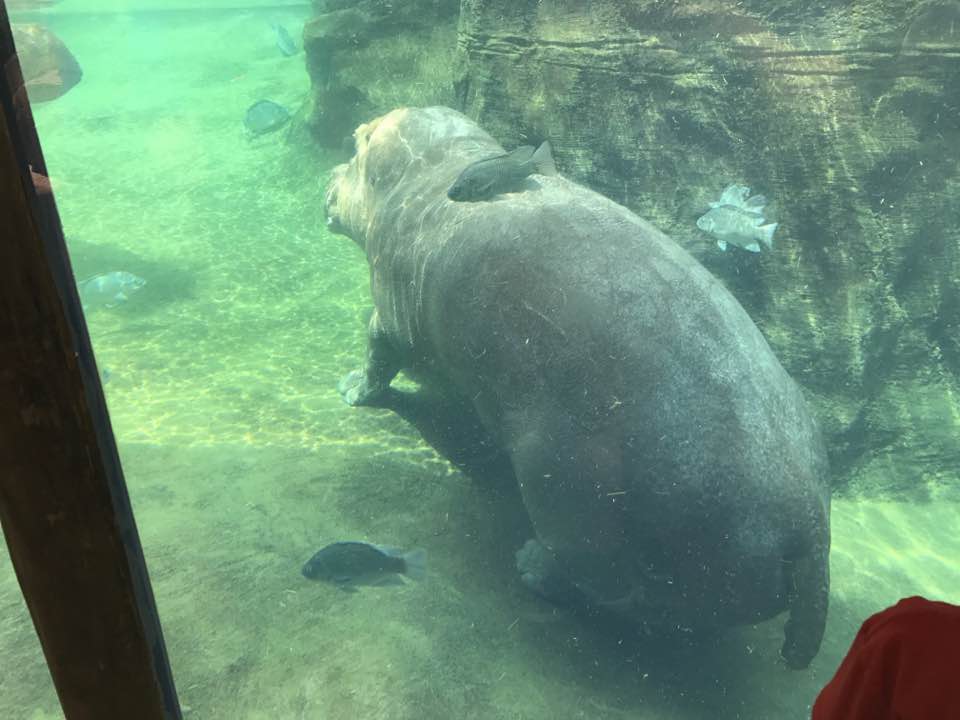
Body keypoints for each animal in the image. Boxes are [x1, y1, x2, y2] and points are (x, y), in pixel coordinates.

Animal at [324, 106, 831, 669]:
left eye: (356, 141)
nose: (329, 175)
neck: (427, 169)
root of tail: (811, 529)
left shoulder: (388, 316)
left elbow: (377, 358)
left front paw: (350, 389)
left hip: (573, 502)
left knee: (614, 593)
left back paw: (529, 564)